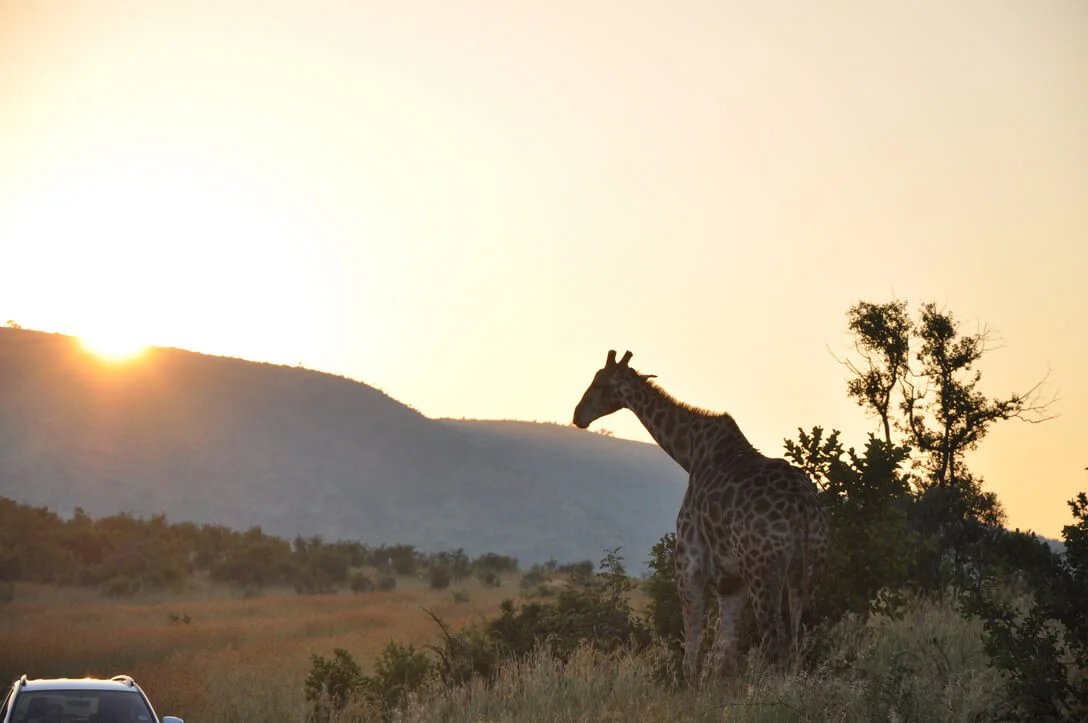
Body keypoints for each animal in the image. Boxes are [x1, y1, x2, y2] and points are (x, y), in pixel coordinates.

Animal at [572, 350, 828, 684]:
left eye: (600, 383)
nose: (578, 416)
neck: (689, 452)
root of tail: (802, 507)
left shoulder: (689, 560)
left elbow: (692, 640)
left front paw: (689, 685)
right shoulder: (731, 577)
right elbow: (725, 654)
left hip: (763, 567)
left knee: (776, 639)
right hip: (809, 565)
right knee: (802, 636)